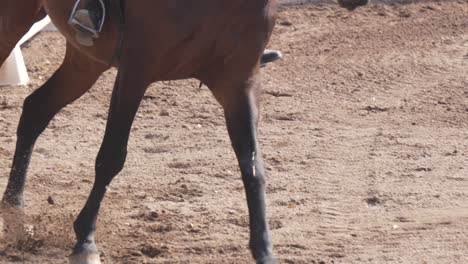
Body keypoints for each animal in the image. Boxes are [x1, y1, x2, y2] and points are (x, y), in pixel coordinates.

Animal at [0, 0, 370, 262]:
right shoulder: (136, 69)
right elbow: (111, 157)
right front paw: (85, 242)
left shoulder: (239, 84)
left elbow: (253, 168)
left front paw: (264, 251)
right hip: (15, 20)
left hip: (87, 60)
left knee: (35, 110)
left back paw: (14, 206)